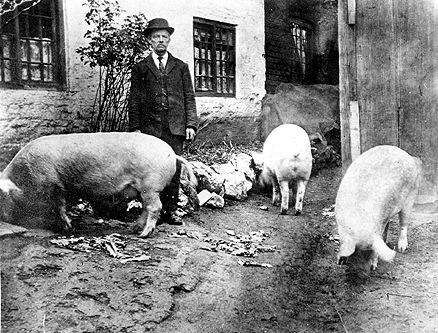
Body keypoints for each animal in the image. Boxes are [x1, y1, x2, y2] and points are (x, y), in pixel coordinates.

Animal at [0, 131, 197, 237]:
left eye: (2, 197)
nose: (4, 218)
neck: (24, 177)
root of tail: (172, 153)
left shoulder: (53, 185)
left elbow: (59, 207)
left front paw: (66, 227)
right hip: (142, 188)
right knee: (146, 208)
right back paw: (134, 228)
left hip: (150, 186)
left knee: (155, 207)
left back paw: (144, 234)